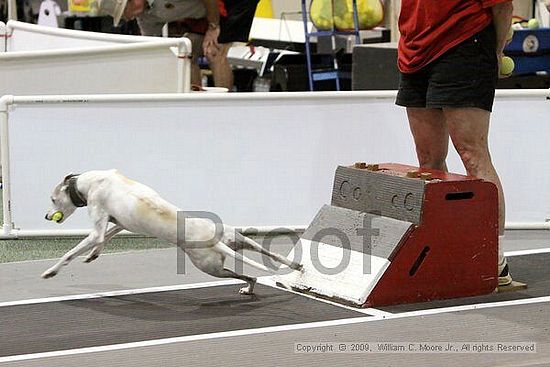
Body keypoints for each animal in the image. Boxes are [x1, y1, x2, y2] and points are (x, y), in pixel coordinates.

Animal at [43, 170, 304, 296]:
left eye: (53, 199)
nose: (47, 216)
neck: (90, 181)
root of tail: (215, 241)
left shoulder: (99, 225)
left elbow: (72, 252)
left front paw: (51, 271)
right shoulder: (120, 224)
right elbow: (105, 237)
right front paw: (93, 254)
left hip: (211, 268)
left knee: (246, 274)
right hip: (239, 242)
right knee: (268, 262)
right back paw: (293, 269)